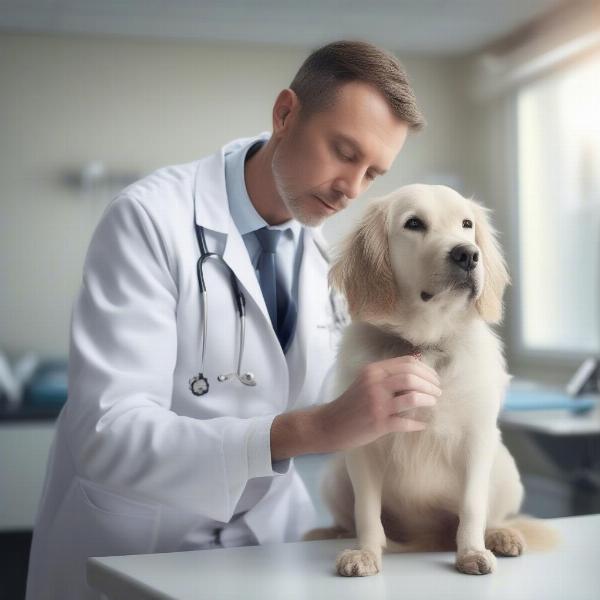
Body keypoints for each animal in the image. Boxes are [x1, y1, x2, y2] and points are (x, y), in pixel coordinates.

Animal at [304, 184, 556, 576]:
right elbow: (367, 513)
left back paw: (501, 535)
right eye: (413, 224)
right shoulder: (364, 444)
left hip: (505, 468)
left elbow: (472, 506)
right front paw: (365, 553)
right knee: (348, 517)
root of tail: (426, 536)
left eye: (467, 224)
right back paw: (330, 532)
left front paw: (471, 552)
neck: (425, 344)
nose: (468, 254)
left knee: (495, 514)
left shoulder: (477, 438)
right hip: (334, 476)